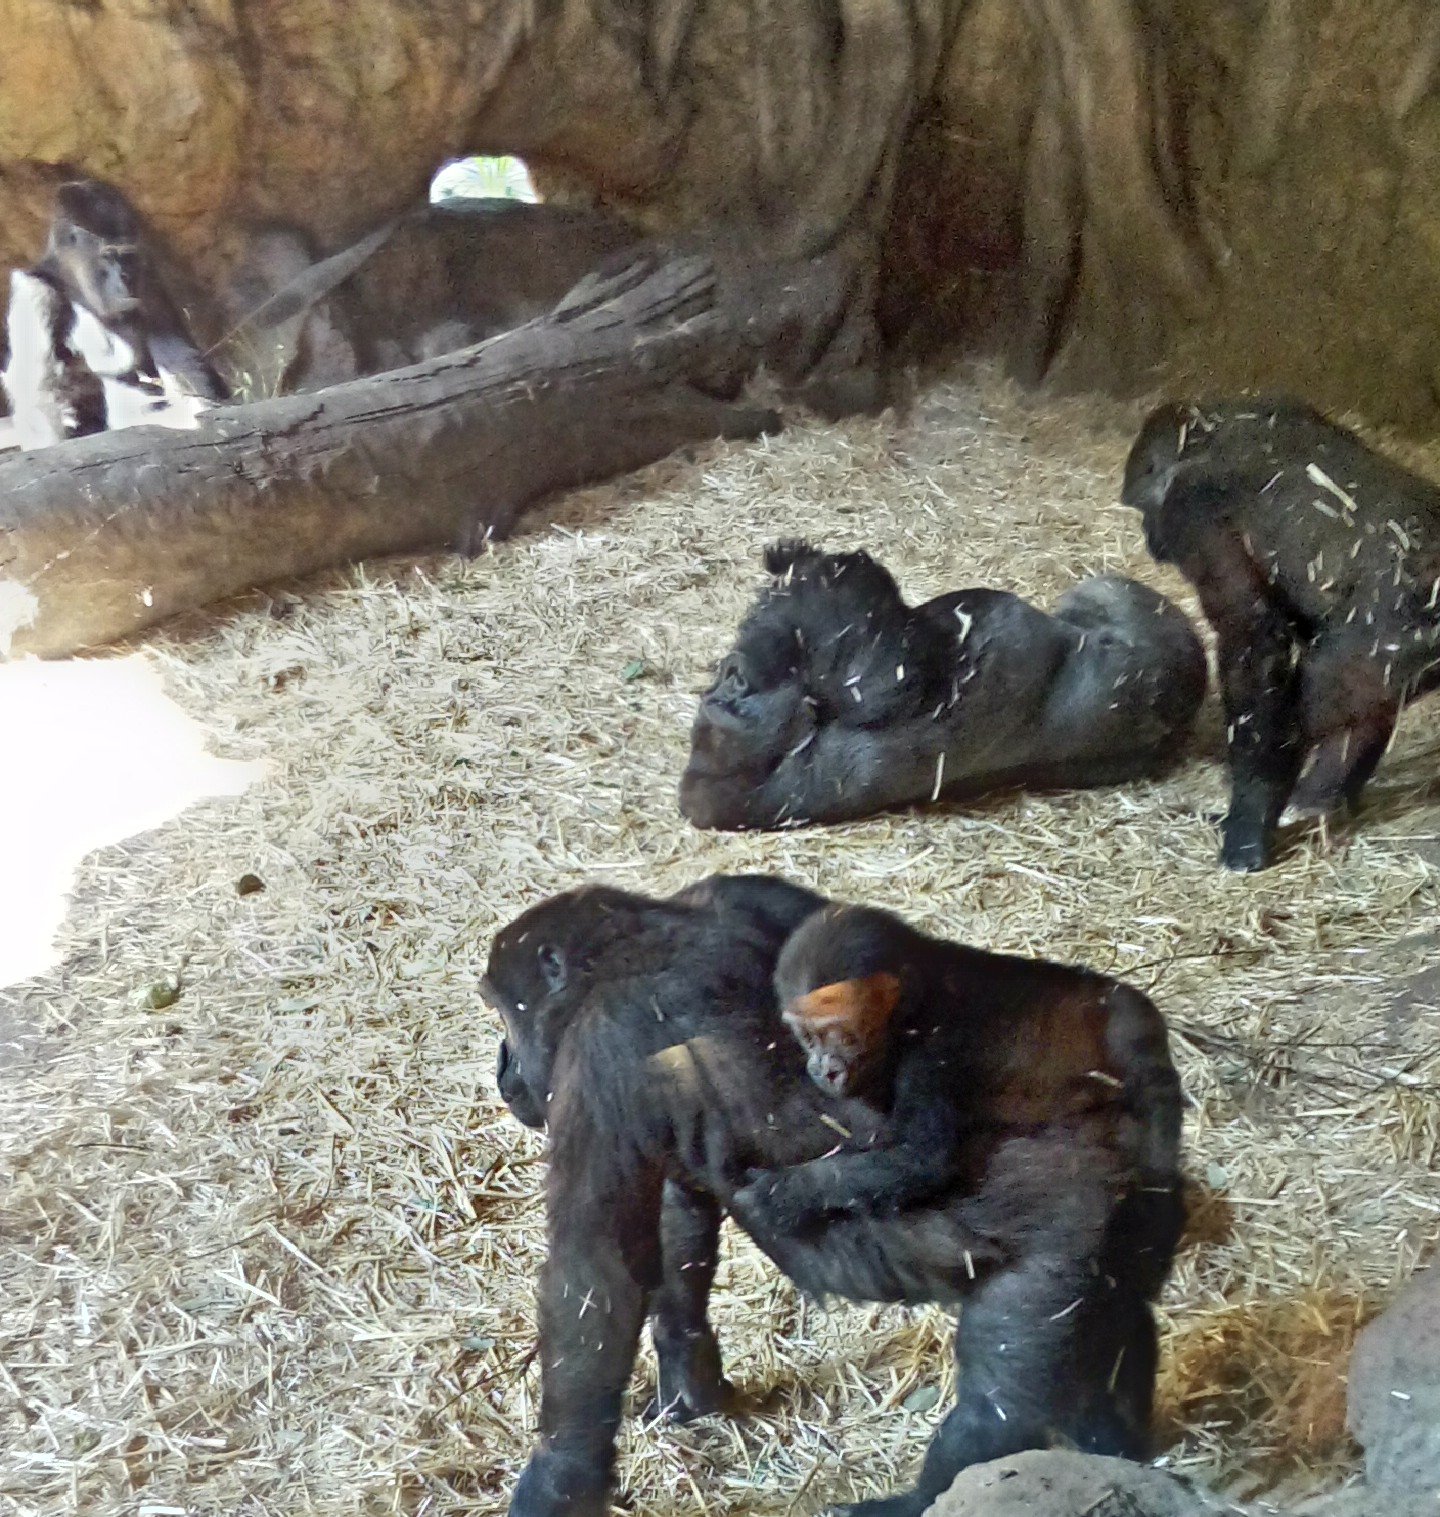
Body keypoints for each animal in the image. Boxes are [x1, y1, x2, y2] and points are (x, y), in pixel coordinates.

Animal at [483, 876, 1185, 1517]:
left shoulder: (601, 1043)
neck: (638, 941)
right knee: (1121, 1327)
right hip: (1137, 1222)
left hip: (1063, 1246)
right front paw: (688, 1377)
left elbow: (595, 1278)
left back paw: (921, 1496)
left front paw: (556, 1483)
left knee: (999, 1395)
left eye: (504, 1011)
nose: (503, 1071)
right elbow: (677, 1219)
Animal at [1121, 395, 1440, 870]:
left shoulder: (1193, 511)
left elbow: (1255, 639)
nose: (1149, 539)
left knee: (1321, 695)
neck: (1202, 428)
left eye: (1144, 510)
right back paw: (1326, 798)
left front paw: (1250, 811)